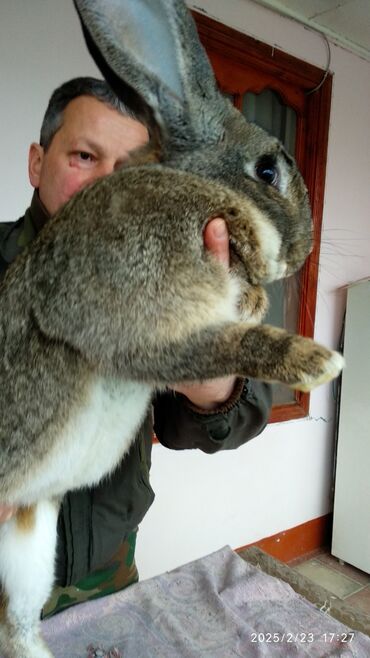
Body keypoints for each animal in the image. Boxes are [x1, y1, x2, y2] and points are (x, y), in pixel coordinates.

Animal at [0, 1, 344, 656]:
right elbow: (232, 343)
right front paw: (320, 362)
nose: (301, 252)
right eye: (268, 170)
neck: (201, 191)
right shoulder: (141, 328)